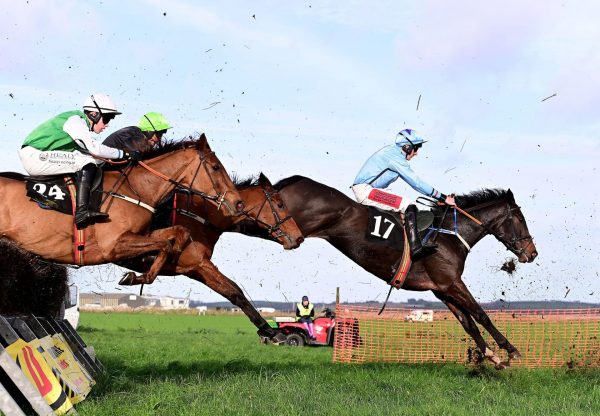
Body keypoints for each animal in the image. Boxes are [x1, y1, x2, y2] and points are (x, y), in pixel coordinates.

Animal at [0, 135, 245, 284]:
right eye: (216, 167)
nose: (238, 203)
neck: (137, 188)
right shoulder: (113, 245)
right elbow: (165, 244)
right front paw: (139, 276)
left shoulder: (140, 234)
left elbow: (178, 233)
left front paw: (141, 276)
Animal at [117, 173, 304, 342]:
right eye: (280, 205)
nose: (299, 237)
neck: (201, 218)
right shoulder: (199, 264)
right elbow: (235, 292)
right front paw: (271, 331)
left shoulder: (194, 268)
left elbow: (233, 290)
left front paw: (267, 330)